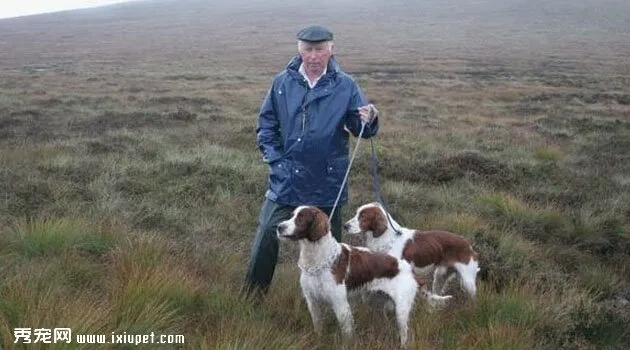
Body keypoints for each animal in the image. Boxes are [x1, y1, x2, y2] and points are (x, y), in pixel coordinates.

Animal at [278, 205, 452, 348]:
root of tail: (409, 270)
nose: (279, 227)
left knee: (405, 336)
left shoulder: (340, 305)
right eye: (291, 215)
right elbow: (318, 327)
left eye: (301, 217)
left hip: (401, 311)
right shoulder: (312, 302)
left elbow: (347, 334)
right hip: (379, 303)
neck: (317, 259)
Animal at [344, 202, 482, 298]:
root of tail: (468, 245)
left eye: (363, 216)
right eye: (356, 213)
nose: (345, 226)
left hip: (468, 281)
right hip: (439, 276)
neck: (388, 237)